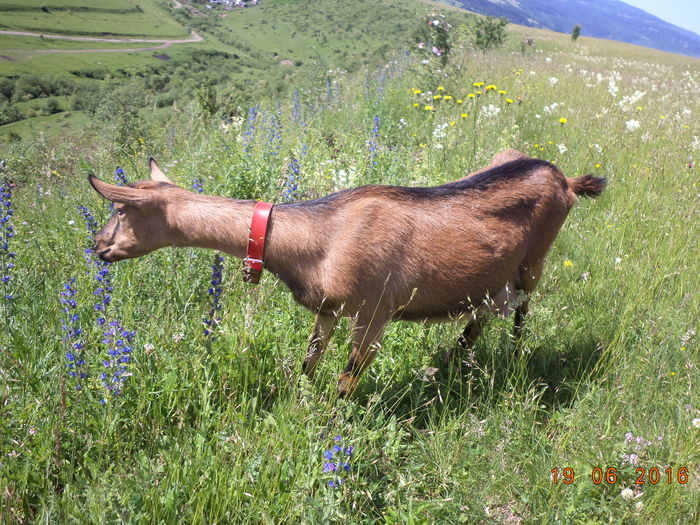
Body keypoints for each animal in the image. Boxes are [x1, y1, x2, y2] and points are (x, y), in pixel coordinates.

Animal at [89, 149, 608, 396]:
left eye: (120, 208)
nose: (97, 246)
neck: (323, 235)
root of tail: (565, 179)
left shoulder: (374, 313)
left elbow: (346, 379)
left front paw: (328, 428)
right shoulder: (327, 309)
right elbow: (310, 360)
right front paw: (296, 399)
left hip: (533, 263)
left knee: (521, 308)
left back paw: (513, 357)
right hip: (493, 276)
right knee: (482, 315)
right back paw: (449, 361)